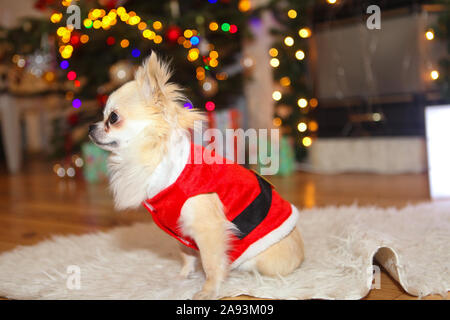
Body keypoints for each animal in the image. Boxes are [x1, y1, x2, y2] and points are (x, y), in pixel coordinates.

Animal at [89, 52, 304, 300]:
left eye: (113, 118)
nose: (90, 127)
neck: (157, 158)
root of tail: (301, 252)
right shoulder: (182, 232)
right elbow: (187, 254)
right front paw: (183, 276)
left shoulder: (208, 229)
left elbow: (211, 262)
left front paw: (209, 289)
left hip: (265, 260)